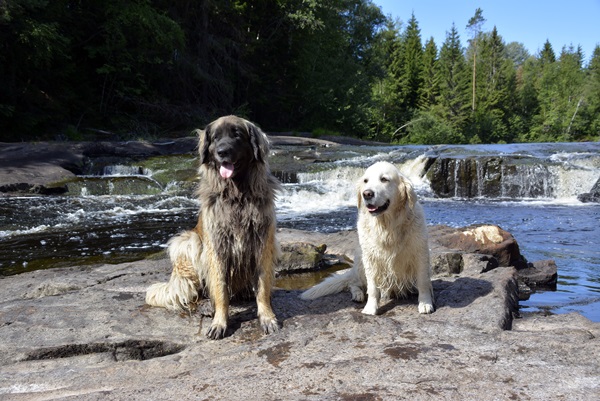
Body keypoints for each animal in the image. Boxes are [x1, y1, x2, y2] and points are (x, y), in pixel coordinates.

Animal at [302, 161, 434, 314]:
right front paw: (370, 308)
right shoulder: (370, 259)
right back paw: (358, 294)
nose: (367, 194)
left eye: (384, 179)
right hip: (360, 261)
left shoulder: (420, 253)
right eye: (366, 181)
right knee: (353, 283)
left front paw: (425, 303)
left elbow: (423, 282)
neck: (387, 226)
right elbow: (372, 288)